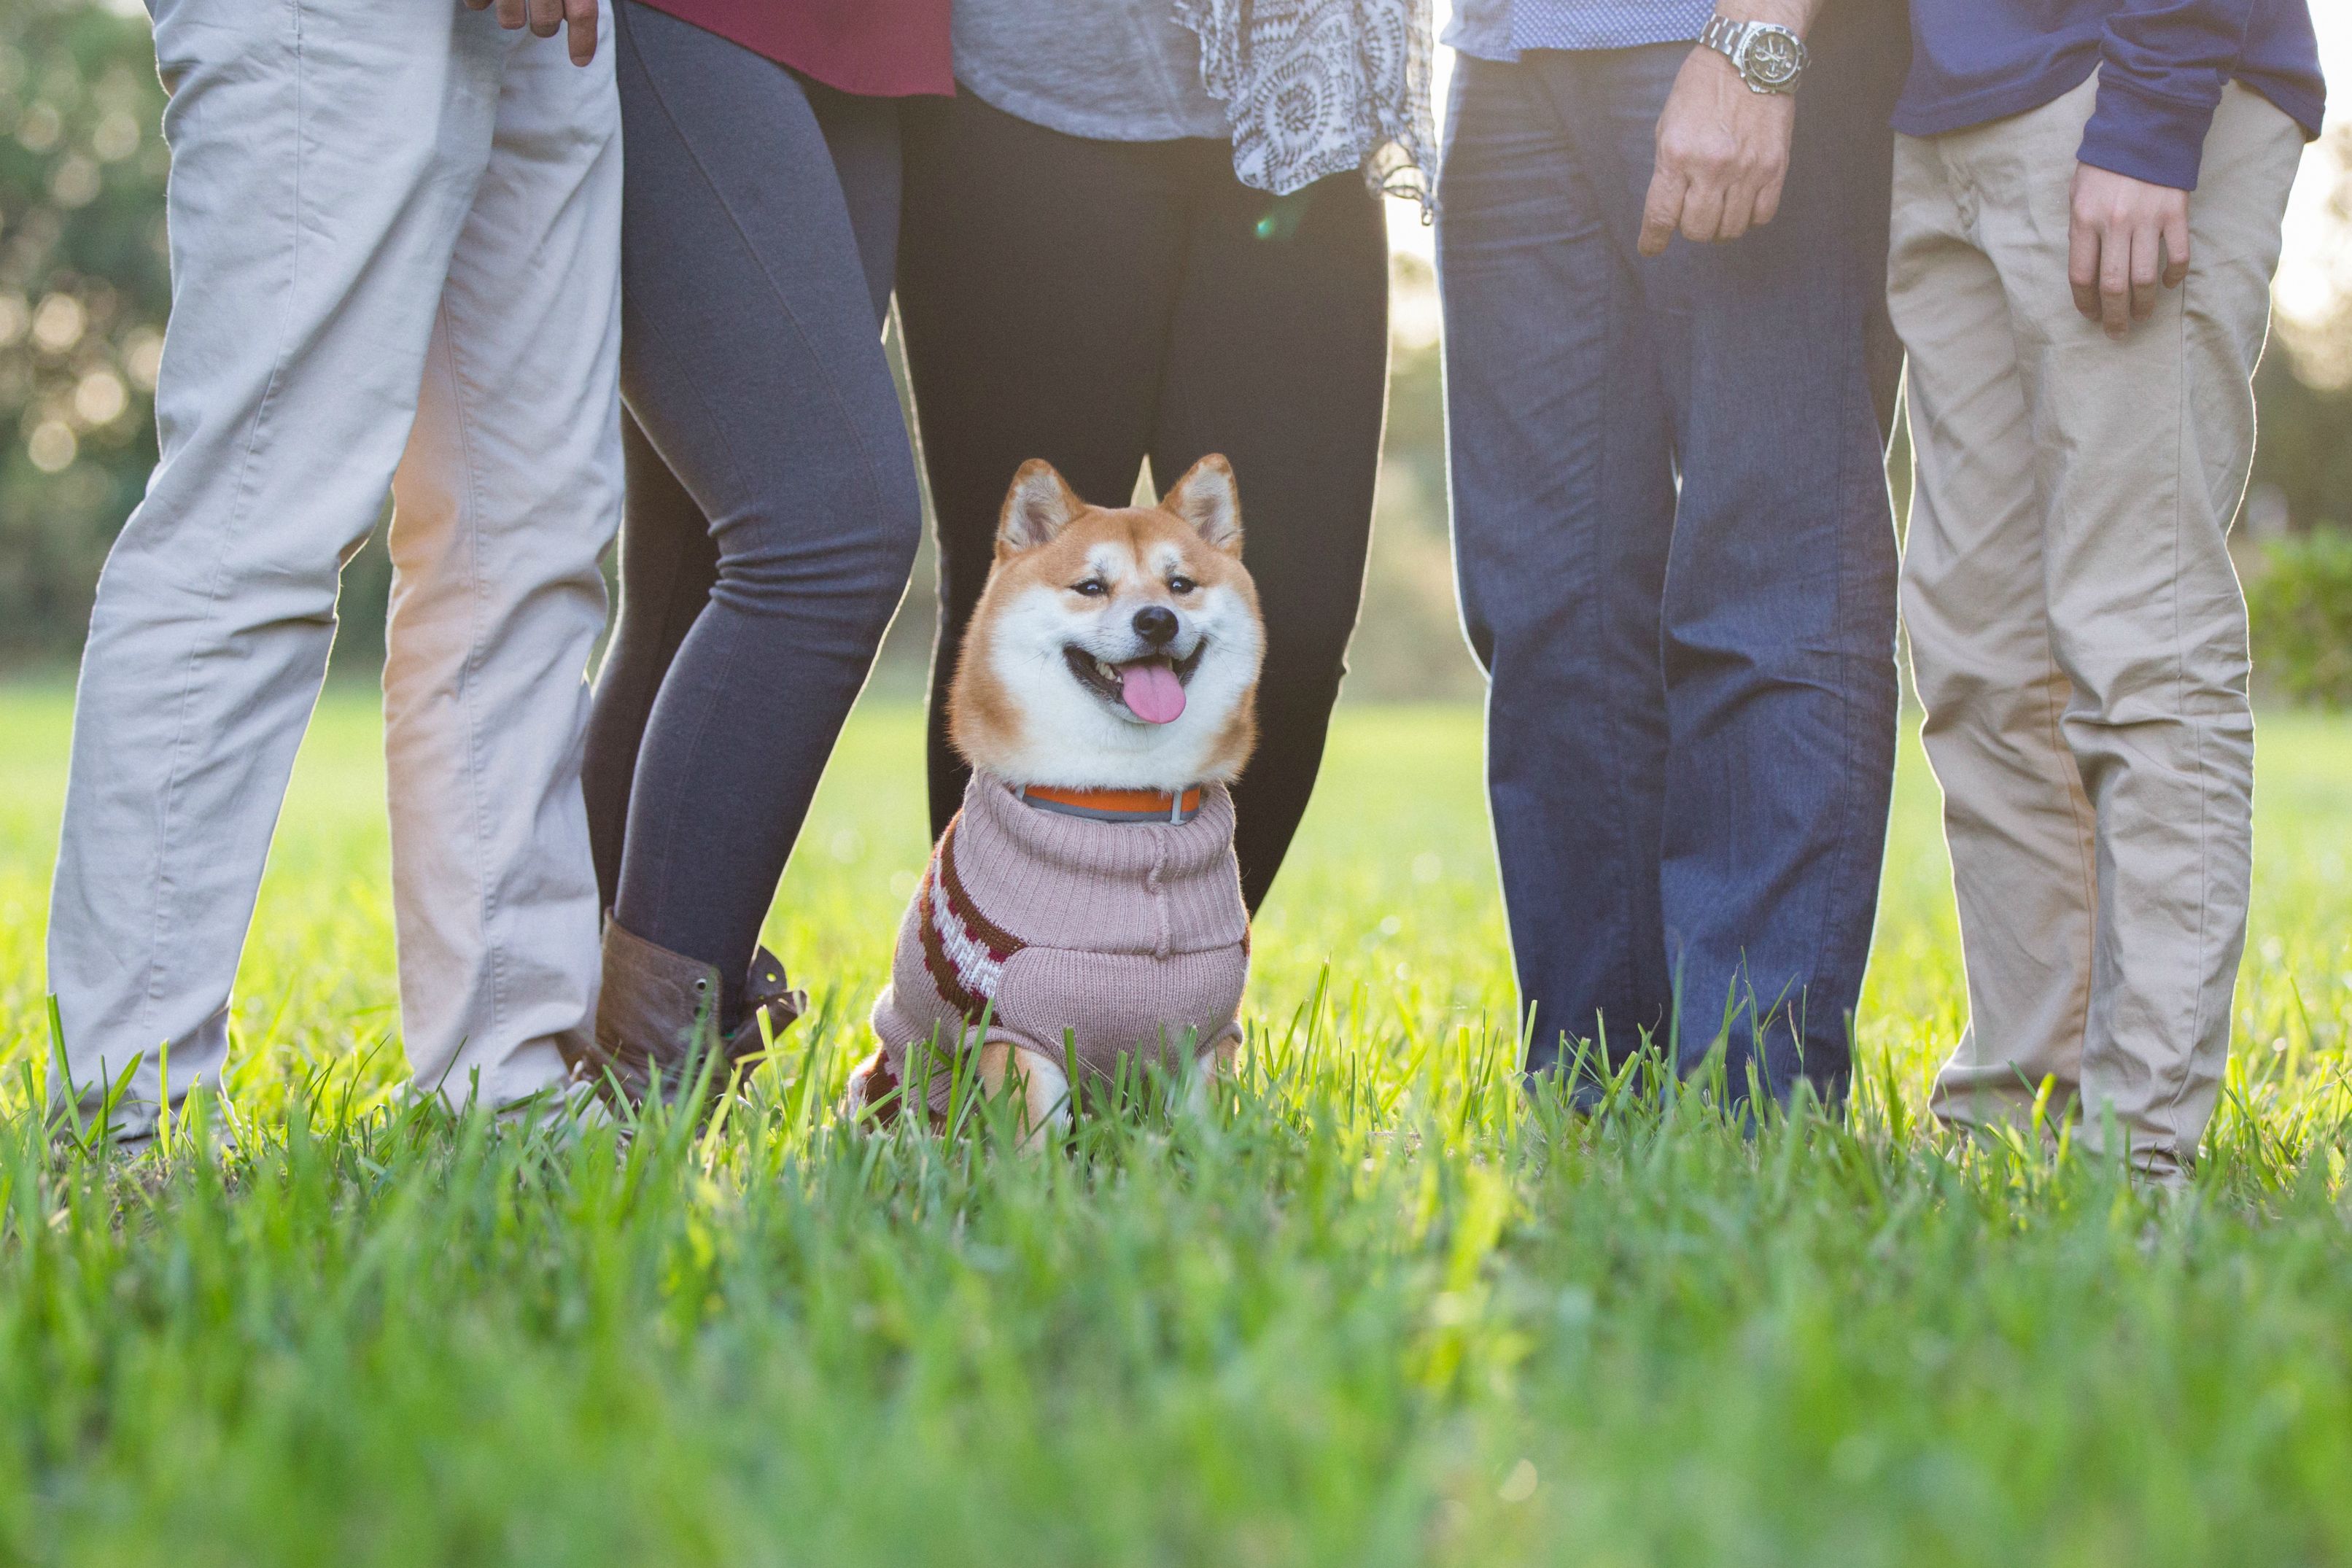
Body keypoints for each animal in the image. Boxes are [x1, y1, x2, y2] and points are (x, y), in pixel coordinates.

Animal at [851, 454, 1270, 1142]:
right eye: (1090, 587)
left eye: (1180, 584)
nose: (1156, 620)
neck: (1122, 814)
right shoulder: (1015, 1032)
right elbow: (1035, 1141)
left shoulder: (1207, 1035)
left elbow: (1201, 1134)